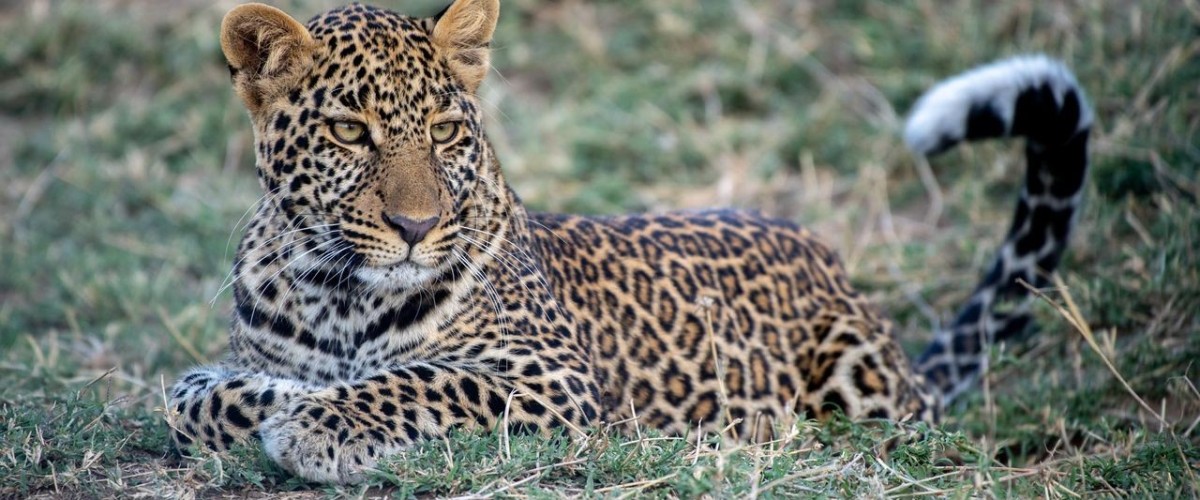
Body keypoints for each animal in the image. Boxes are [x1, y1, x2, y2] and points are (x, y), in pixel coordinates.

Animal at [167, 0, 1093, 484]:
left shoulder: (554, 381)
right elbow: (191, 395)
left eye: (444, 132)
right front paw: (288, 400)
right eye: (350, 133)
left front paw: (317, 420)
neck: (341, 293)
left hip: (860, 386)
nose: (416, 228)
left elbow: (421, 380)